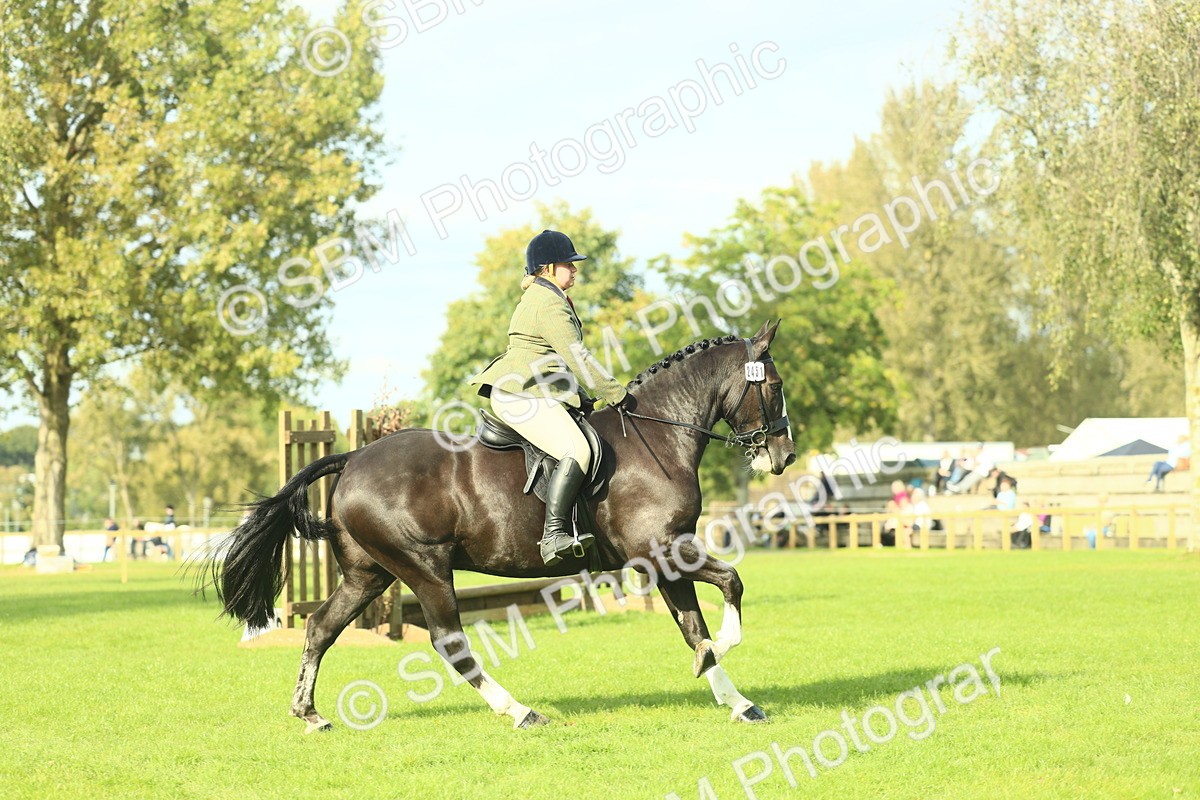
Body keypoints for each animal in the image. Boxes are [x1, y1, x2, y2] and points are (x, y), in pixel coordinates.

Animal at [210, 320, 796, 731]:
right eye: (775, 385)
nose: (785, 456)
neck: (658, 435)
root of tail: (352, 458)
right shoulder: (661, 550)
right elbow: (728, 587)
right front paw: (725, 650)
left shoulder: (664, 557)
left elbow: (694, 626)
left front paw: (738, 702)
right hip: (424, 568)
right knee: (450, 642)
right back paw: (520, 712)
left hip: (369, 574)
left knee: (320, 628)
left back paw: (310, 714)